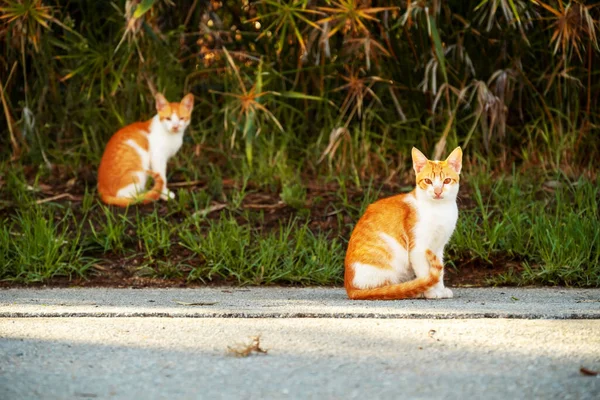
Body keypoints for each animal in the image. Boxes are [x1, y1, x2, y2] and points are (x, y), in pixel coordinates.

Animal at [342, 147, 464, 300]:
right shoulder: (418, 248)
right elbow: (426, 272)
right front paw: (431, 292)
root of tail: (349, 288)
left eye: (447, 181)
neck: (439, 210)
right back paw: (410, 290)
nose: (437, 191)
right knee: (385, 289)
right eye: (428, 181)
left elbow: (439, 270)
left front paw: (440, 289)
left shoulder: (438, 247)